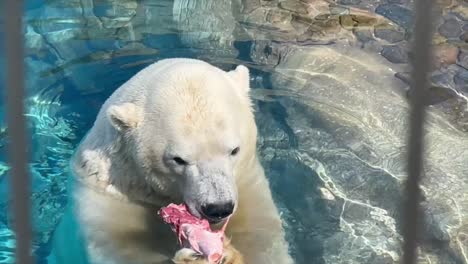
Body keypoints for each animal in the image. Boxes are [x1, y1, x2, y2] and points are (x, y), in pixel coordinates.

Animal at [59, 58, 292, 264]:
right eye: (179, 159)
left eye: (234, 150)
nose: (218, 208)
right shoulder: (113, 196)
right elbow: (123, 250)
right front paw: (195, 258)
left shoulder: (247, 184)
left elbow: (261, 238)